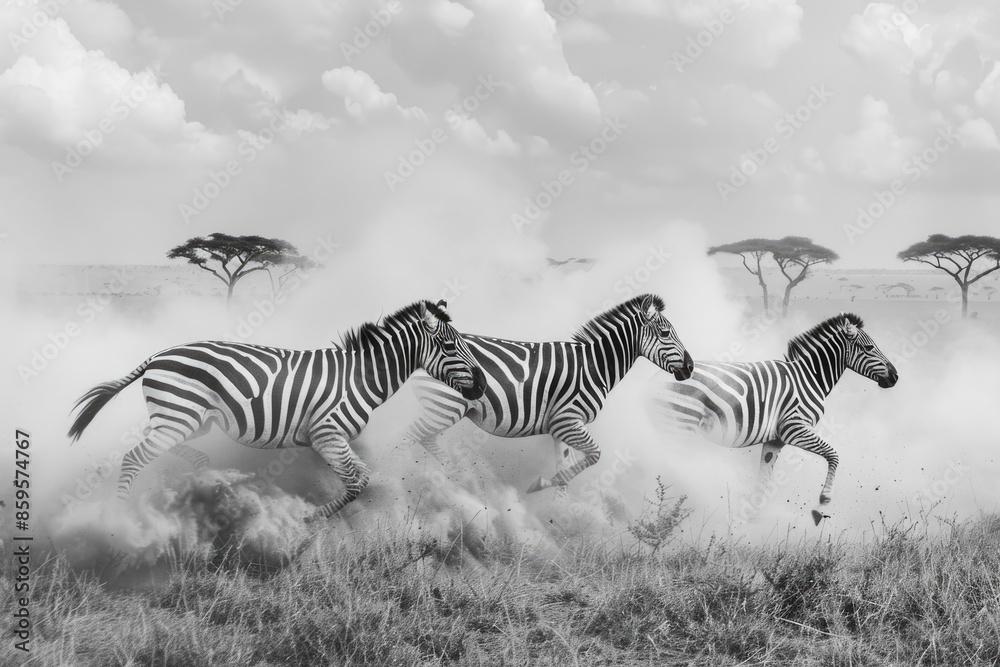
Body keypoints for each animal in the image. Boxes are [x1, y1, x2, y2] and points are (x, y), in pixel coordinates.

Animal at [67, 300, 487, 518]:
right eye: (450, 346)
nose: (482, 386)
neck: (361, 376)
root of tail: (157, 356)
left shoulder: (336, 440)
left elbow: (364, 477)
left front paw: (313, 519)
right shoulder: (326, 434)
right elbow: (357, 483)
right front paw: (310, 521)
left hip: (189, 419)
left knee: (155, 442)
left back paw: (202, 469)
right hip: (179, 415)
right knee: (133, 458)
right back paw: (118, 520)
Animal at [402, 294, 694, 493]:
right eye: (666, 333)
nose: (690, 367)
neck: (596, 365)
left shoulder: (560, 429)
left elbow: (566, 469)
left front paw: (561, 518)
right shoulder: (567, 421)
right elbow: (594, 455)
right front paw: (541, 485)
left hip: (443, 408)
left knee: (425, 439)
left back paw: (455, 476)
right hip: (447, 405)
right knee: (412, 435)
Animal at [651, 313, 897, 524]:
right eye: (869, 348)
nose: (895, 376)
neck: (810, 377)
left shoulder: (775, 440)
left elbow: (763, 479)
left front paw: (749, 521)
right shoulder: (794, 428)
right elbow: (833, 454)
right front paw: (823, 502)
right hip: (679, 423)